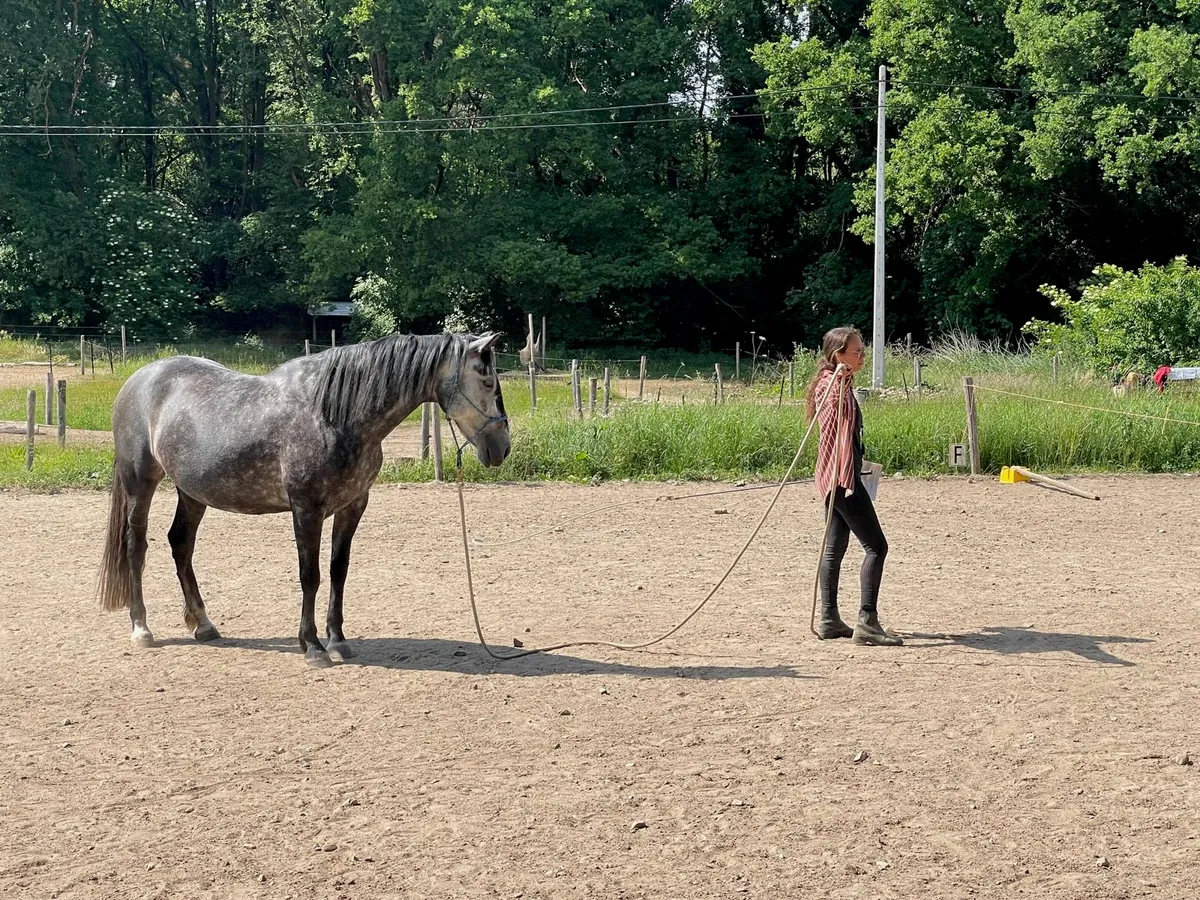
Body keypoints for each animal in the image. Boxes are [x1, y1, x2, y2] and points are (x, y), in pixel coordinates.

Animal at [97, 331, 510, 668]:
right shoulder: (306, 509)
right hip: (139, 483)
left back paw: (204, 624)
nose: (501, 447)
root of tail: (140, 378)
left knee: (181, 544)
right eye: (488, 380)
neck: (334, 414)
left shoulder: (353, 506)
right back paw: (141, 628)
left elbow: (338, 571)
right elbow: (309, 575)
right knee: (136, 546)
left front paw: (338, 641)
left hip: (192, 492)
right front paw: (312, 646)